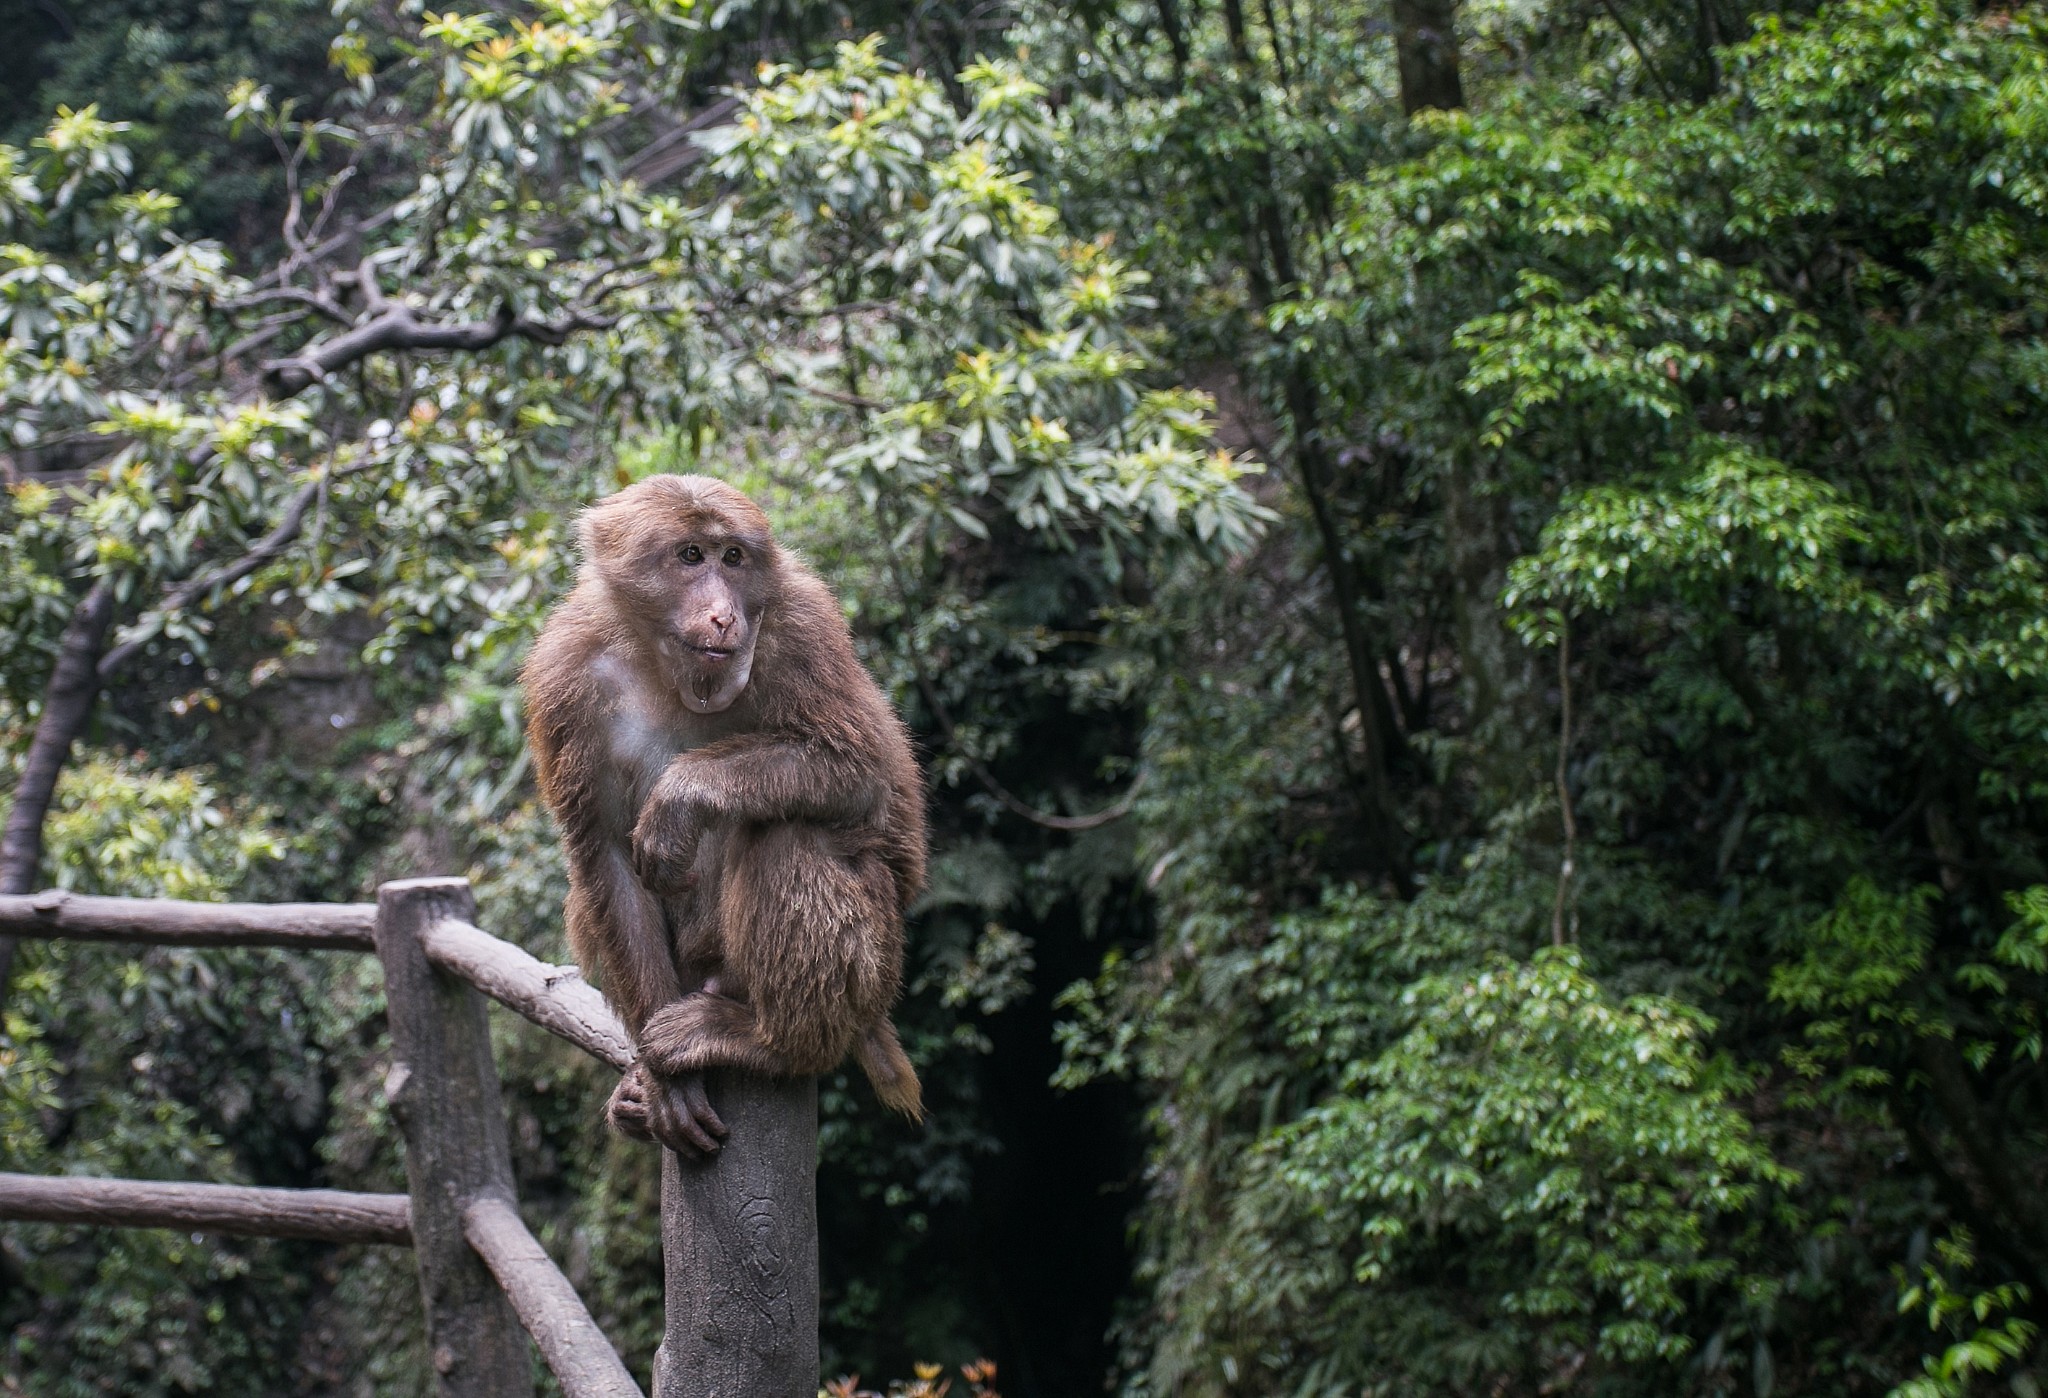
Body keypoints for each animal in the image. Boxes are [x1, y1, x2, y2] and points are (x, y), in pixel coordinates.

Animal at [520, 474, 929, 1154]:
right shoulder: (564, 673)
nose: (724, 614)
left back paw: (773, 1043)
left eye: (732, 558)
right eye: (691, 556)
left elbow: (864, 773)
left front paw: (684, 793)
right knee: (590, 893)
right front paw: (665, 1088)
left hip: (876, 963)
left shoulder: (801, 625)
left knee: (788, 836)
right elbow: (605, 855)